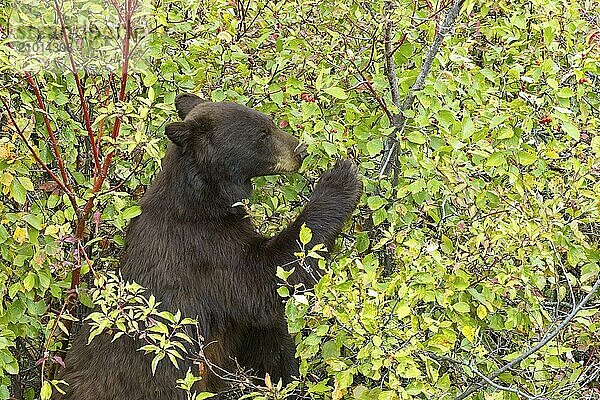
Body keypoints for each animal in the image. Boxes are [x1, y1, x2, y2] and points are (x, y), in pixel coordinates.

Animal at [55, 93, 360, 396]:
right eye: (262, 134)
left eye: (270, 122)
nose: (301, 150)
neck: (204, 202)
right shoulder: (205, 250)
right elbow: (265, 279)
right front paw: (341, 179)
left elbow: (268, 339)